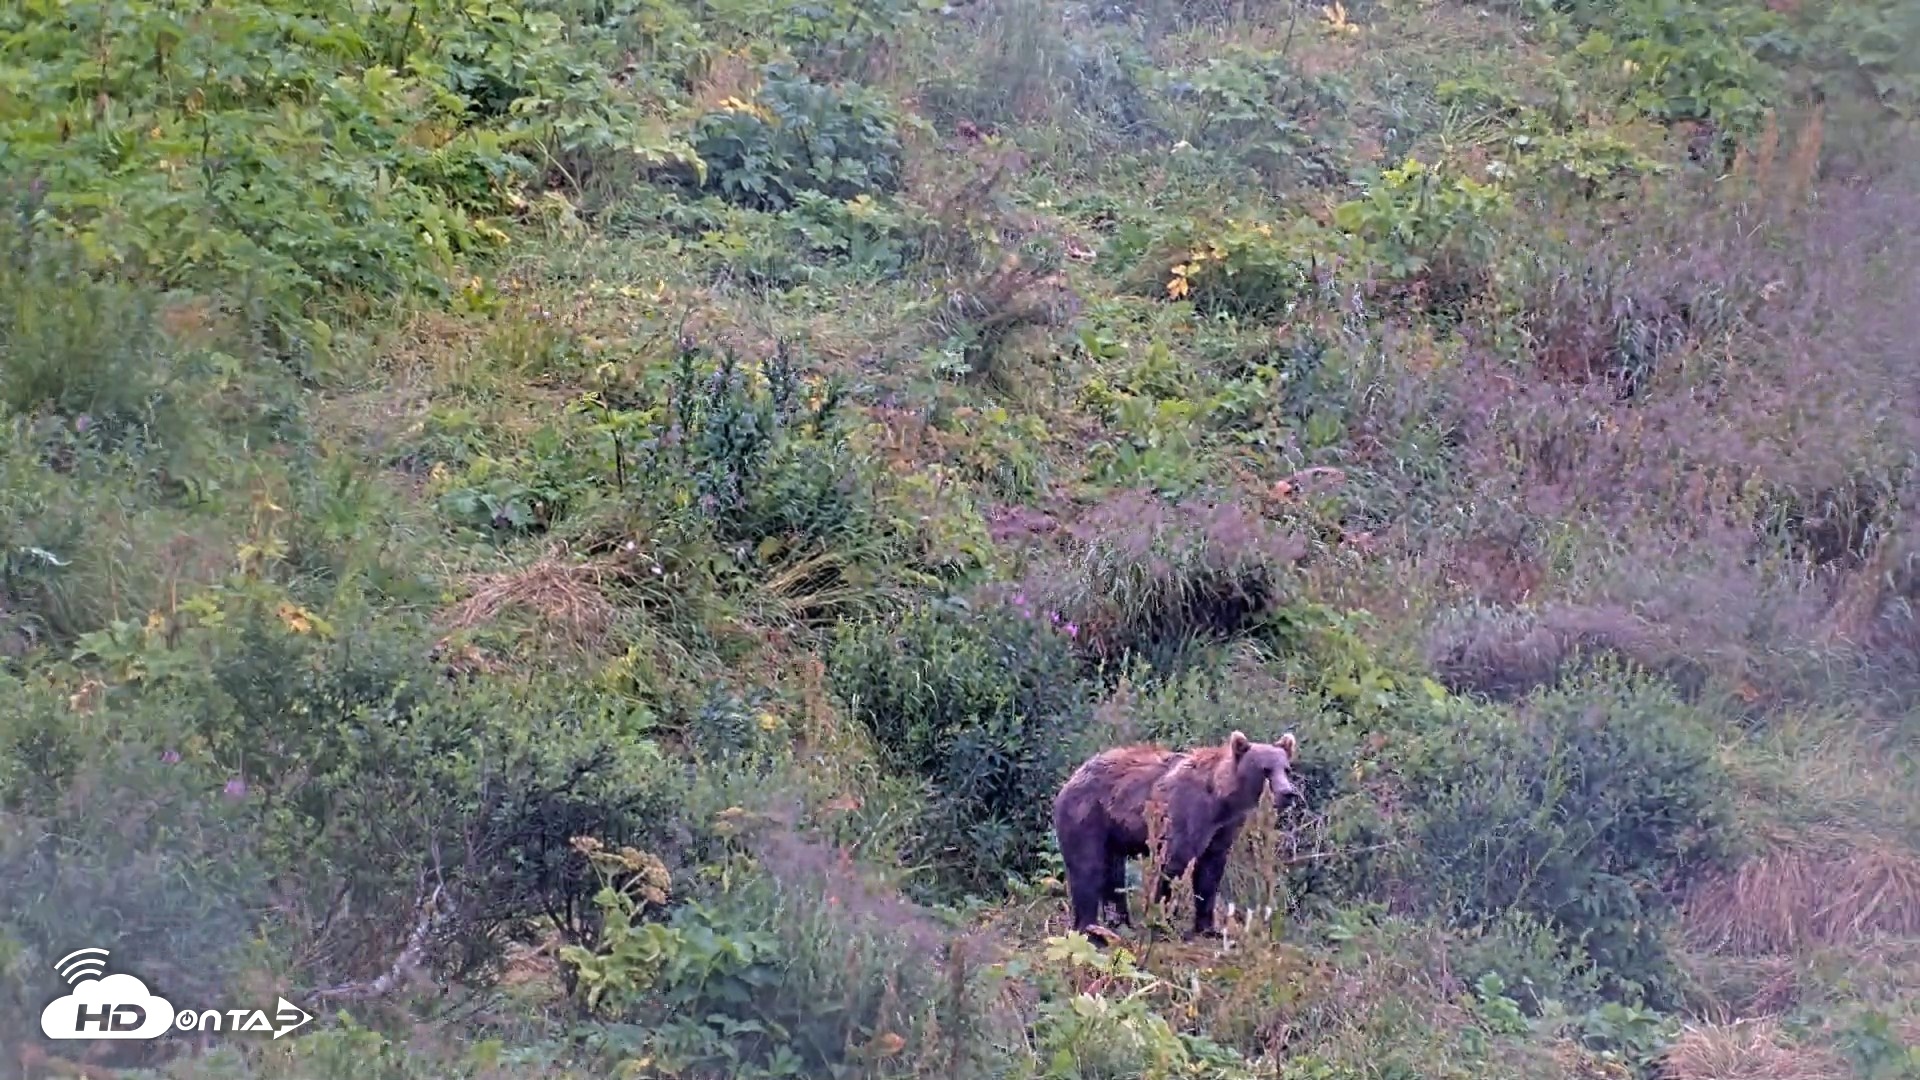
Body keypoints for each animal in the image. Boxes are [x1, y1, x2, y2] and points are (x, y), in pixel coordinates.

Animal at [1050, 730, 1299, 941]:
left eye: (1286, 768)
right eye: (1266, 769)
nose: (1288, 793)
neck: (1223, 800)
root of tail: (1073, 776)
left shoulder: (1224, 828)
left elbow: (1210, 872)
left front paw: (1209, 927)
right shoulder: (1187, 813)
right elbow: (1175, 863)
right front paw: (1162, 921)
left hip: (1114, 832)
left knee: (1114, 875)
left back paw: (1120, 923)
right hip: (1087, 815)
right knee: (1088, 867)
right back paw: (1090, 929)